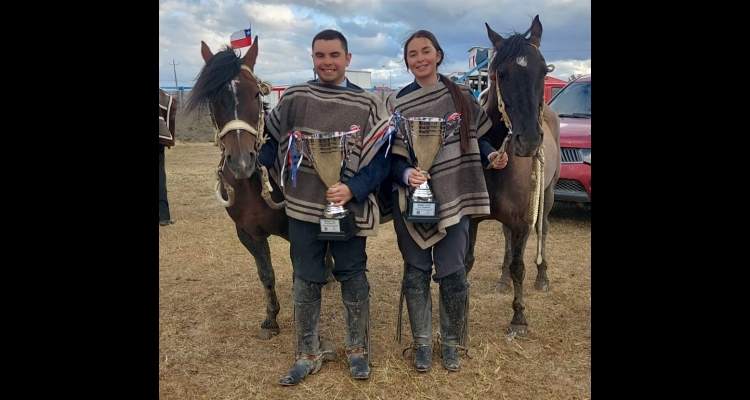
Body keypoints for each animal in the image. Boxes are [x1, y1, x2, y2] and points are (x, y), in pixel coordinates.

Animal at [182, 37, 334, 340]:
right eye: (213, 98)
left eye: (255, 94)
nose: (242, 161)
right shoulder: (248, 234)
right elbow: (266, 274)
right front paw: (271, 318)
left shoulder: (296, 231)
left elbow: (299, 272)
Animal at [464, 15, 564, 334]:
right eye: (502, 73)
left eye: (543, 71)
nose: (529, 140)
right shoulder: (472, 220)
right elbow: (466, 262)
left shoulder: (522, 219)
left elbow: (520, 265)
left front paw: (518, 317)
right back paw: (502, 280)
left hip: (547, 195)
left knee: (542, 230)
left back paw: (541, 277)